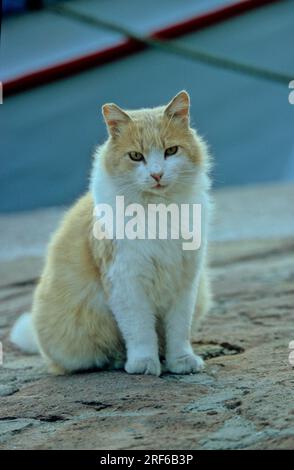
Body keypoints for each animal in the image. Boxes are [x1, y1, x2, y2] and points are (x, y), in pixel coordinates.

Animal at [10, 91, 211, 378]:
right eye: (136, 156)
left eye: (171, 151)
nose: (157, 174)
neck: (158, 209)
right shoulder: (126, 281)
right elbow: (140, 331)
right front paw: (144, 364)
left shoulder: (185, 281)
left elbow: (178, 331)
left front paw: (181, 361)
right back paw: (118, 360)